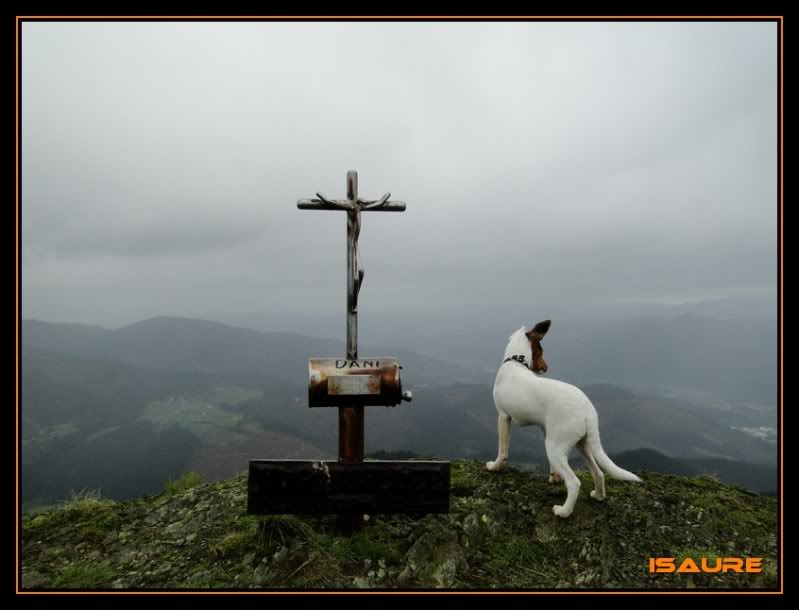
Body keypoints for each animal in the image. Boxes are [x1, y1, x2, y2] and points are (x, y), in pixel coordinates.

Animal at [484, 320, 640, 516]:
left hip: (554, 447)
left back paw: (563, 512)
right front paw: (555, 477)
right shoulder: (546, 429)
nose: (546, 368)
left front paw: (495, 467)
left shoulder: (503, 417)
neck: (515, 362)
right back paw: (598, 496)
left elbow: (503, 448)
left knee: (574, 482)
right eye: (540, 352)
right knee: (599, 473)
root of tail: (588, 411)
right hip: (582, 444)